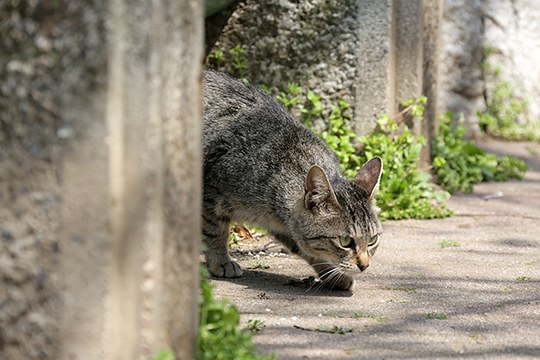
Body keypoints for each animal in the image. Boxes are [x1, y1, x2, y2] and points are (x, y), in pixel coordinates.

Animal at [202, 69, 384, 290]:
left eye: (372, 239)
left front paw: (333, 276)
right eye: (345, 241)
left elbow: (307, 249)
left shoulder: (287, 227)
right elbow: (215, 230)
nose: (364, 266)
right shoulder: (210, 191)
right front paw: (220, 260)